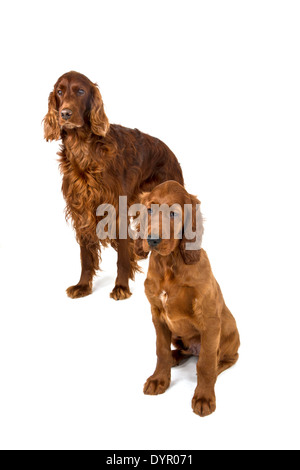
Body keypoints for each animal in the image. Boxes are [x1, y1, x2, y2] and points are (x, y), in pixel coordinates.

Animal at [44, 71, 183, 300]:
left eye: (80, 91)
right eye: (59, 91)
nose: (65, 113)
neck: (83, 149)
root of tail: (169, 151)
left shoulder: (117, 209)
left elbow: (122, 258)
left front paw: (121, 287)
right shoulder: (81, 210)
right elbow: (85, 255)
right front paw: (83, 285)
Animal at [137, 182, 240, 416]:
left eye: (173, 213)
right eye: (149, 210)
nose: (152, 240)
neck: (169, 264)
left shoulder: (210, 319)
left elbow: (206, 363)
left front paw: (204, 397)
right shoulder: (157, 316)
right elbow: (161, 350)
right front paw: (159, 380)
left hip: (228, 330)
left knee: (222, 358)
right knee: (181, 352)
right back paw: (176, 357)